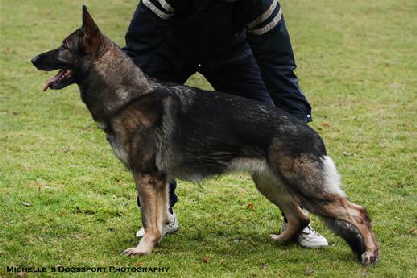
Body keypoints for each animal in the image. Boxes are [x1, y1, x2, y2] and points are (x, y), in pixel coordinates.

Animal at [31, 5, 376, 264]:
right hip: (270, 183)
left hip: (306, 188)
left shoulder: (147, 176)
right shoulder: (158, 180)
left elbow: (150, 219)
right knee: (299, 217)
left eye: (63, 47)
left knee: (357, 212)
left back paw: (369, 254)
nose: (33, 59)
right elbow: (157, 217)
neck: (129, 98)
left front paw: (143, 250)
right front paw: (154, 243)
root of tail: (312, 134)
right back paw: (281, 240)